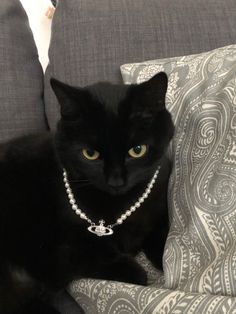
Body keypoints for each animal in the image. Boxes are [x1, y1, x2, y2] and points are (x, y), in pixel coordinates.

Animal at [0, 72, 173, 312]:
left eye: (137, 150)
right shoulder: (58, 251)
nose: (116, 181)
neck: (120, 204)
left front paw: (164, 255)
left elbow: (161, 234)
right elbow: (93, 252)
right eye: (90, 154)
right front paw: (132, 268)